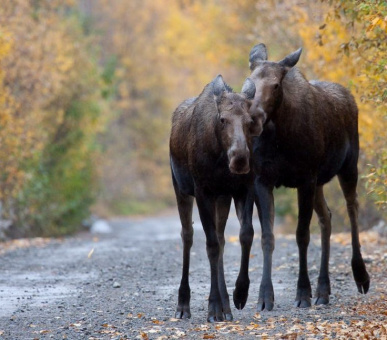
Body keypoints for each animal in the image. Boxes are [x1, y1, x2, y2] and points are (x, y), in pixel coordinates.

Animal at [171, 74, 264, 322]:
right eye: (222, 119)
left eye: (250, 120)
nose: (240, 159)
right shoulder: (203, 191)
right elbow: (210, 245)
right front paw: (212, 307)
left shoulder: (243, 189)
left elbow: (246, 234)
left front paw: (240, 293)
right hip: (181, 189)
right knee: (188, 235)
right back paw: (183, 304)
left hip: (222, 198)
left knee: (222, 238)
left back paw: (227, 307)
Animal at [247, 43, 372, 312]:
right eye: (251, 81)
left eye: (276, 85)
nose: (255, 118)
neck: (279, 136)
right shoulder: (263, 180)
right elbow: (267, 237)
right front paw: (265, 297)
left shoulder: (304, 179)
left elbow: (302, 235)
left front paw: (303, 293)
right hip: (319, 181)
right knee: (327, 217)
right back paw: (324, 290)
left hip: (348, 166)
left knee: (352, 208)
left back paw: (360, 275)